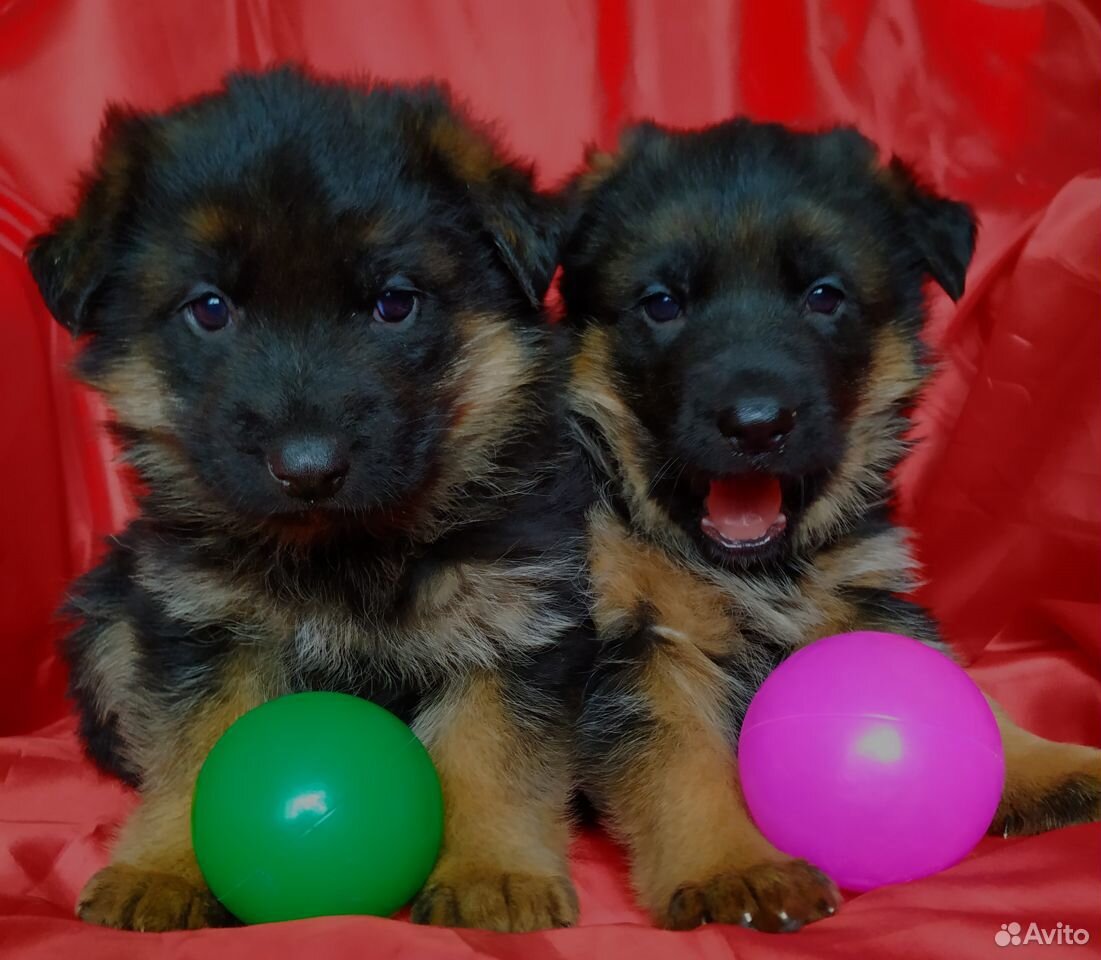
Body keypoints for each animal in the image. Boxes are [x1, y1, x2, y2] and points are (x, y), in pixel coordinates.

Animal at [25, 69, 590, 937]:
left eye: (394, 303)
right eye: (209, 308)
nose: (308, 467)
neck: (348, 547)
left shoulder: (513, 616)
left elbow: (495, 756)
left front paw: (493, 870)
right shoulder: (201, 622)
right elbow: (192, 750)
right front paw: (164, 865)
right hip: (106, 616)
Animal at [559, 118, 1101, 929]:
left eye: (824, 296)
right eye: (661, 303)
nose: (755, 424)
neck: (756, 568)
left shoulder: (867, 594)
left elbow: (955, 683)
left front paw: (1047, 763)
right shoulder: (632, 635)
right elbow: (676, 758)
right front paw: (734, 865)